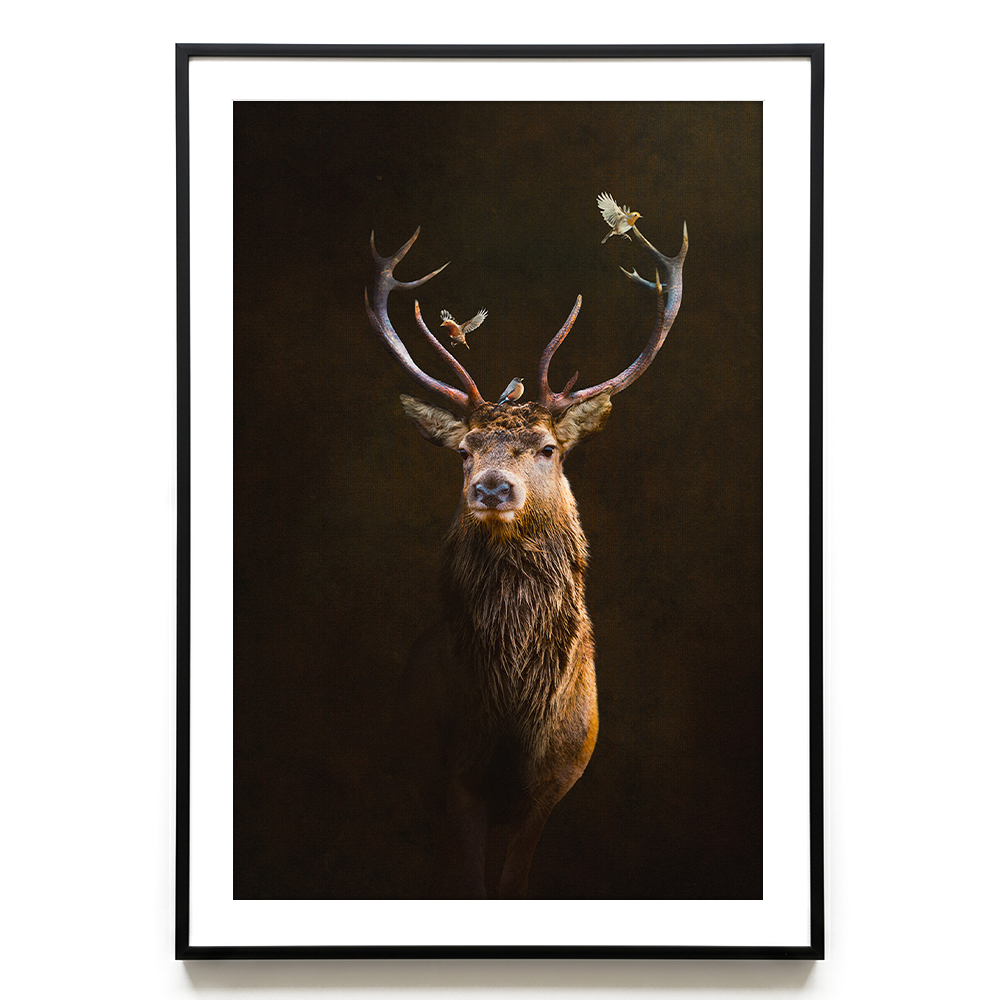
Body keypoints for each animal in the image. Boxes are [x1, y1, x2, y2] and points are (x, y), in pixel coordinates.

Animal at [363, 218, 687, 898]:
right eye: (463, 450)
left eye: (547, 448)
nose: (491, 488)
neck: (516, 718)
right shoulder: (452, 778)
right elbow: (466, 880)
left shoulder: (556, 782)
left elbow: (513, 882)